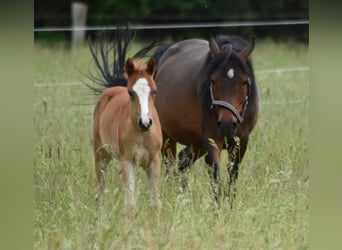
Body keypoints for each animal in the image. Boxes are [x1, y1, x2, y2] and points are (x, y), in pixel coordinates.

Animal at [88, 30, 163, 212]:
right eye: (130, 92)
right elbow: (130, 204)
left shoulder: (154, 161)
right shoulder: (129, 161)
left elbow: (156, 202)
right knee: (100, 188)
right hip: (101, 154)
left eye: (154, 91)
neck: (142, 134)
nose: (145, 122)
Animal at [152, 35, 260, 200]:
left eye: (244, 82)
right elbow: (216, 182)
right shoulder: (211, 141)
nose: (227, 125)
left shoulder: (241, 142)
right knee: (170, 166)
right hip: (167, 137)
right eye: (213, 80)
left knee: (183, 160)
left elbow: (232, 180)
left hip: (197, 143)